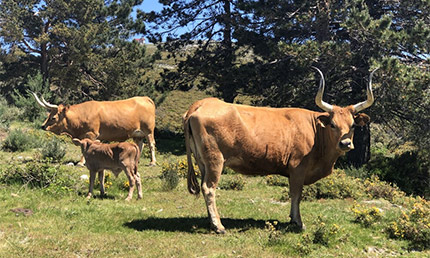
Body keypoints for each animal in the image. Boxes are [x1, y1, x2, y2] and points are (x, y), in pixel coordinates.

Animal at [183, 67, 378, 233]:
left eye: (353, 125)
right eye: (332, 124)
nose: (345, 143)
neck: (316, 133)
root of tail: (202, 103)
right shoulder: (298, 168)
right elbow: (296, 194)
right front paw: (298, 222)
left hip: (202, 162)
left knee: (204, 188)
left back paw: (211, 222)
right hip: (215, 160)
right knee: (209, 188)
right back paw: (219, 226)